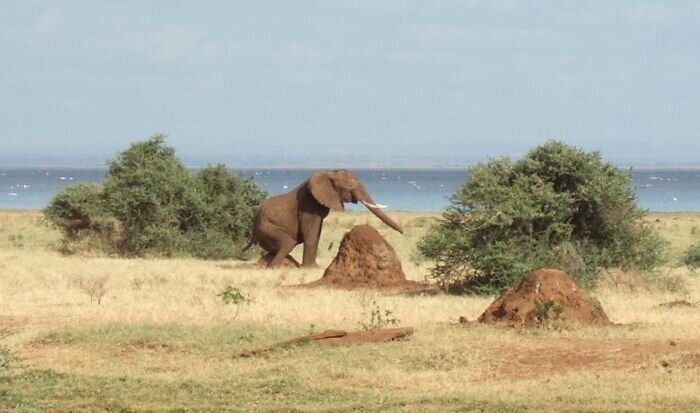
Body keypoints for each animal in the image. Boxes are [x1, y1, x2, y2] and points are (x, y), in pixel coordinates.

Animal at [242, 168, 402, 268]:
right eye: (350, 185)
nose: (402, 232)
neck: (329, 172)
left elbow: (317, 233)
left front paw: (313, 267)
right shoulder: (309, 204)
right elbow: (311, 235)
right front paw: (310, 268)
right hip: (268, 227)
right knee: (288, 242)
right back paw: (274, 267)